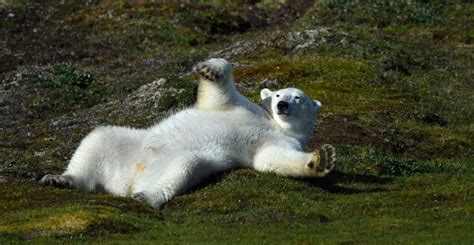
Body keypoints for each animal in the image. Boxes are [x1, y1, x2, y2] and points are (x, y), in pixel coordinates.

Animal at [40, 58, 336, 208]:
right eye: (276, 94)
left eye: (298, 97)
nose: (282, 105)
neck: (273, 123)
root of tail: (126, 182)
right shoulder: (242, 107)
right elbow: (219, 92)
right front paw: (208, 68)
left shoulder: (279, 142)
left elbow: (275, 160)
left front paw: (322, 158)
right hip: (127, 144)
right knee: (98, 138)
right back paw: (60, 179)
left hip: (178, 161)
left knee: (182, 169)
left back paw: (145, 196)